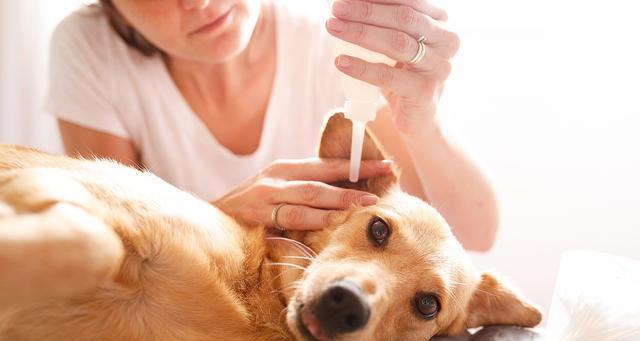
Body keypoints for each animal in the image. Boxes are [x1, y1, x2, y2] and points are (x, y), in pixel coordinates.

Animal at [0, 113, 540, 338]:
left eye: (428, 305)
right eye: (379, 229)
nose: (346, 305)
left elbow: (86, 242)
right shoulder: (83, 193)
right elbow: (88, 240)